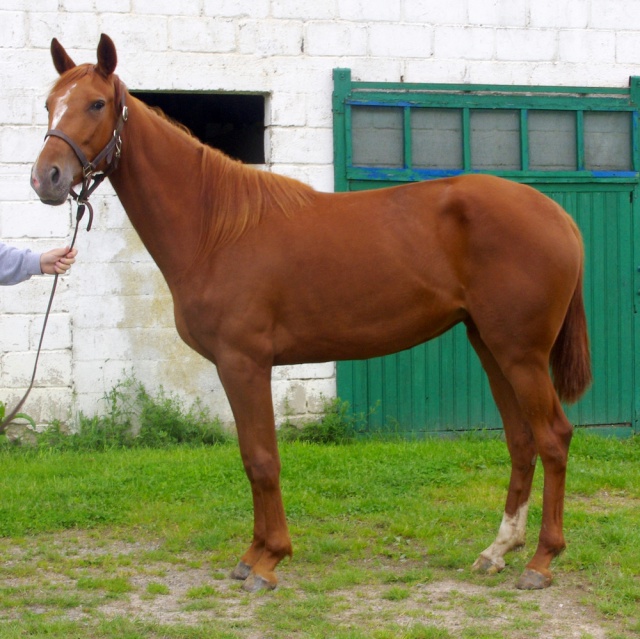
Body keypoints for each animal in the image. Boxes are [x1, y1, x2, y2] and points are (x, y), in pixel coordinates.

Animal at [28, 35, 592, 592]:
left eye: (96, 104)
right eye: (49, 103)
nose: (45, 178)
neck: (217, 229)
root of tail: (559, 216)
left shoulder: (244, 363)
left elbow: (262, 460)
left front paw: (268, 561)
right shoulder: (238, 367)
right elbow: (251, 456)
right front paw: (252, 554)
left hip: (520, 353)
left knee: (553, 438)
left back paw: (542, 560)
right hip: (491, 346)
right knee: (521, 441)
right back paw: (498, 551)